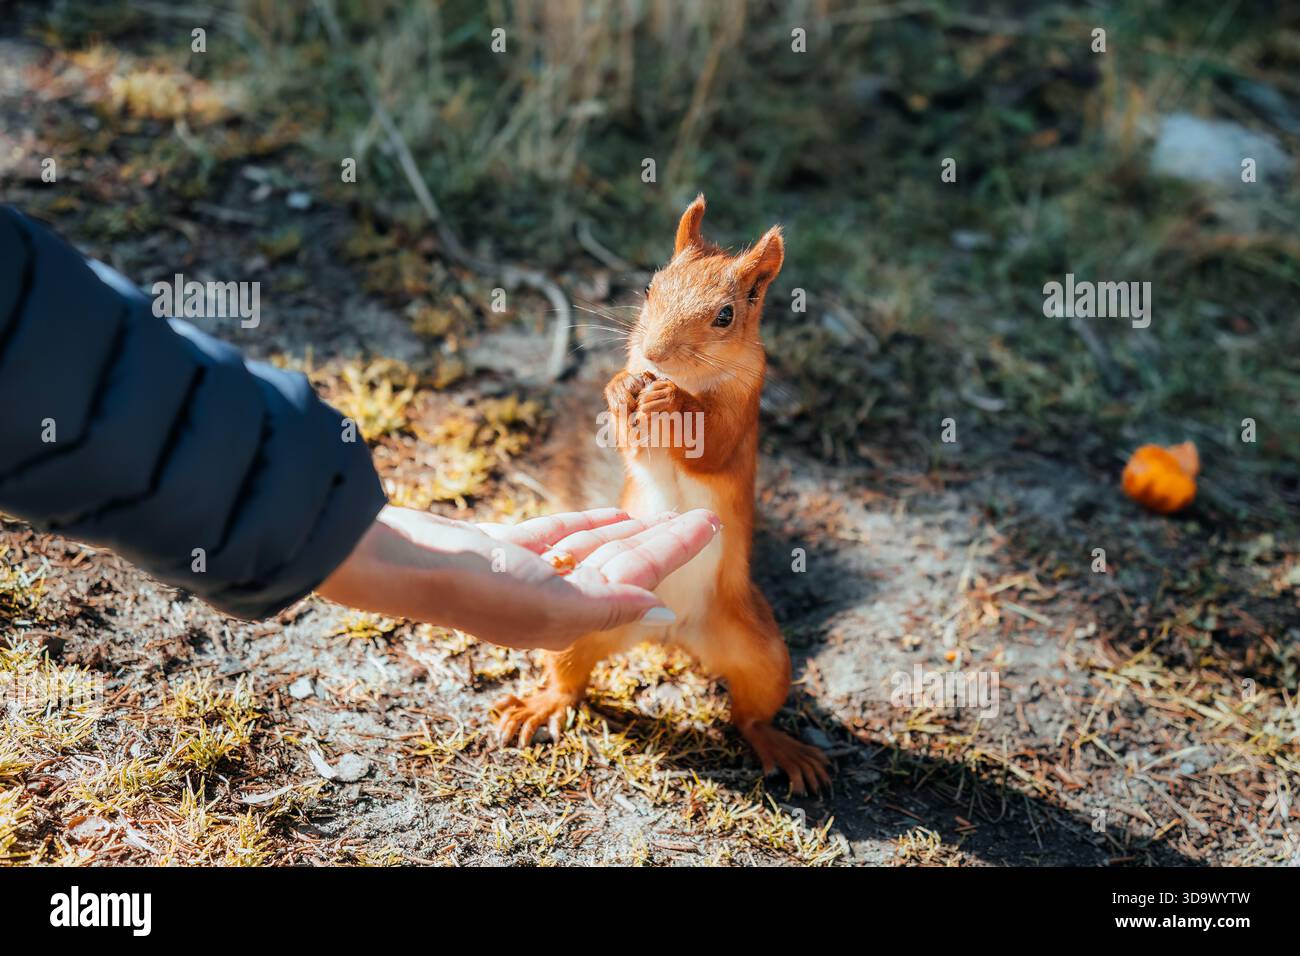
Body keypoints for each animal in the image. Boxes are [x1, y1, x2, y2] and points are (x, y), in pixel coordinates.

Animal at [495, 195, 830, 795]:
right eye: (650, 287)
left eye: (725, 315)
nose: (654, 352)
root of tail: (668, 630)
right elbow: (632, 440)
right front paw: (621, 389)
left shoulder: (742, 417)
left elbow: (711, 446)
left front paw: (673, 401)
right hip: (578, 625)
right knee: (568, 680)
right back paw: (541, 705)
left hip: (760, 649)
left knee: (750, 714)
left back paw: (783, 747)